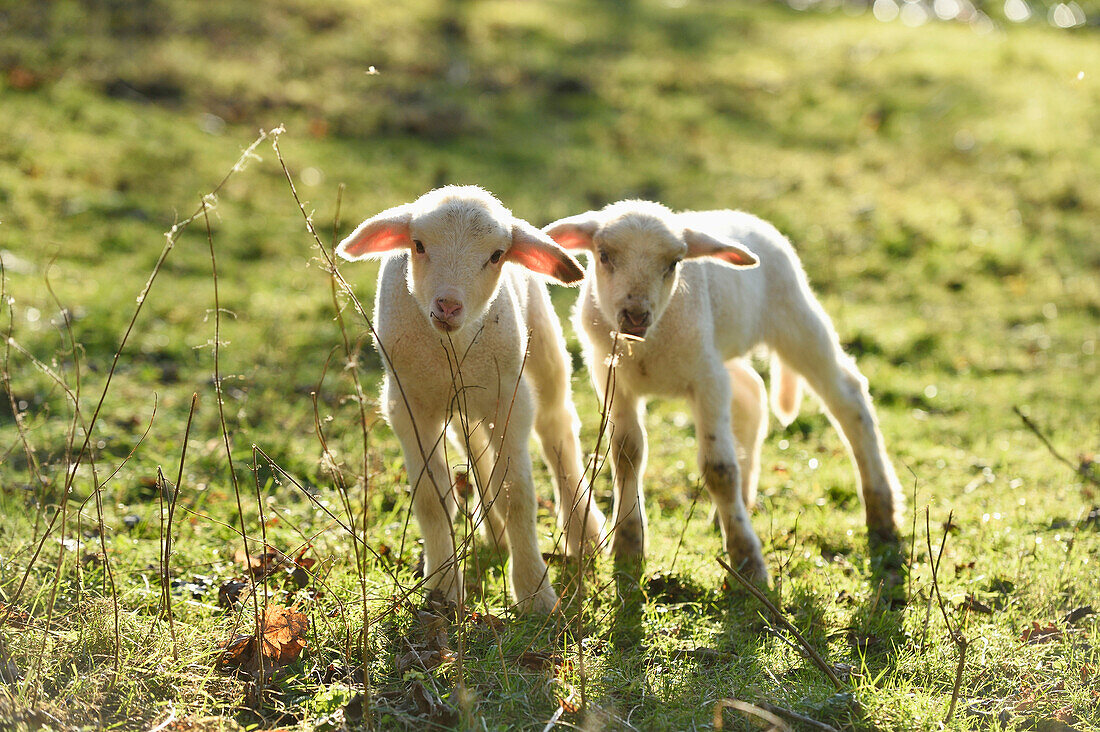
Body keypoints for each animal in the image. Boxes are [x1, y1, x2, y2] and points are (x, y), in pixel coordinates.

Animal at [338, 186, 607, 607]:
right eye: (418, 245)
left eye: (496, 255)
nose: (448, 306)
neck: (453, 346)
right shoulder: (409, 406)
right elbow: (433, 500)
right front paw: (443, 589)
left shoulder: (510, 401)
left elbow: (518, 496)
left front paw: (535, 594)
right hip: (463, 402)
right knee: (474, 447)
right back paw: (494, 533)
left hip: (541, 348)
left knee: (557, 431)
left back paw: (584, 535)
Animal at [547, 200, 902, 581]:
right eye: (604, 255)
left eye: (673, 263)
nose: (635, 315)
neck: (648, 346)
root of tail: (742, 214)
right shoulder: (612, 377)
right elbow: (627, 455)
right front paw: (628, 547)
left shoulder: (706, 379)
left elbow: (719, 470)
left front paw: (747, 561)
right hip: (726, 350)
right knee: (753, 392)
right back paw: (738, 505)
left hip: (795, 318)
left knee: (848, 396)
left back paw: (881, 511)